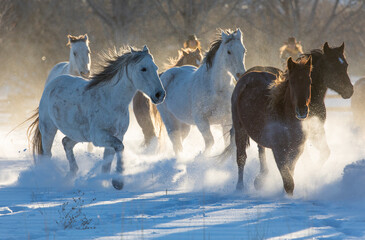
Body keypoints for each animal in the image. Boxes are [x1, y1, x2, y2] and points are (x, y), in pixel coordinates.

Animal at [28, 46, 165, 189]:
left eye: (155, 68)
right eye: (143, 69)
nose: (160, 94)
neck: (111, 99)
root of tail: (50, 85)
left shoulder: (117, 135)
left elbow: (107, 164)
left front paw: (105, 183)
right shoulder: (99, 137)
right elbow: (120, 147)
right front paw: (118, 182)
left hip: (79, 135)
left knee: (66, 142)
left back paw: (71, 175)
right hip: (48, 129)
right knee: (47, 154)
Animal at [232, 57, 312, 196]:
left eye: (309, 82)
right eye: (292, 82)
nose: (302, 110)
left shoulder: (297, 150)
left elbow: (290, 173)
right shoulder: (278, 150)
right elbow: (288, 182)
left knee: (261, 150)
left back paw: (260, 179)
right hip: (239, 129)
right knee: (241, 158)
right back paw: (240, 187)